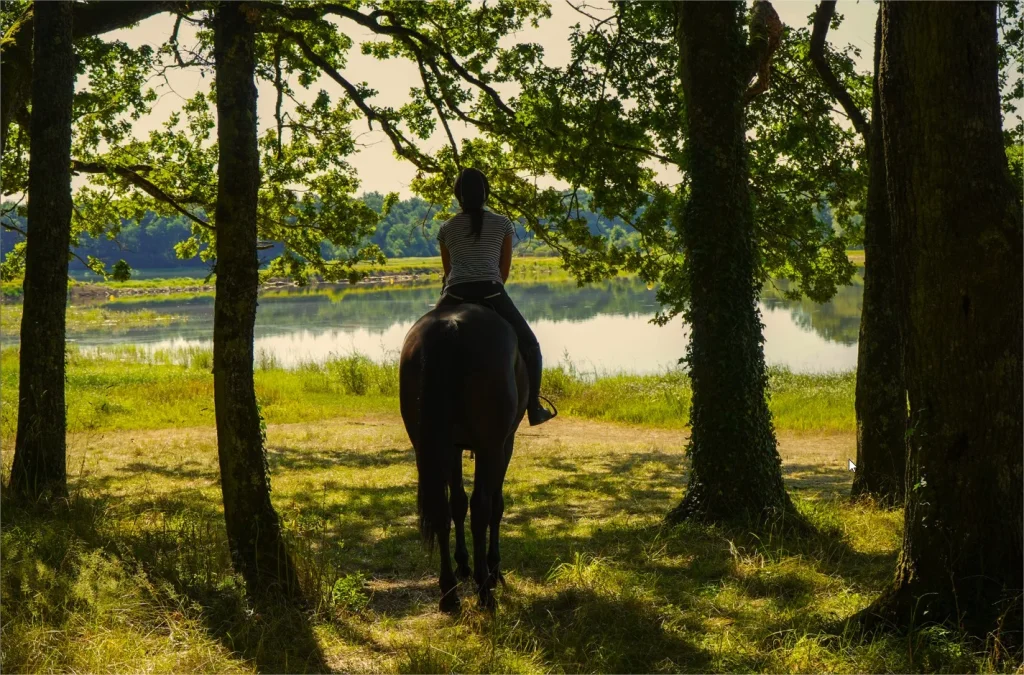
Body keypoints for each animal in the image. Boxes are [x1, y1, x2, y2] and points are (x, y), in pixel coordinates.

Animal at [399, 303, 528, 614]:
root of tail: (450, 327)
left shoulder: (453, 447)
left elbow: (456, 503)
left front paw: (463, 565)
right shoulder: (504, 444)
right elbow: (495, 505)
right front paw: (493, 569)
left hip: (431, 445)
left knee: (440, 510)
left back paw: (449, 593)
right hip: (490, 446)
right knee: (481, 507)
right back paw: (484, 589)